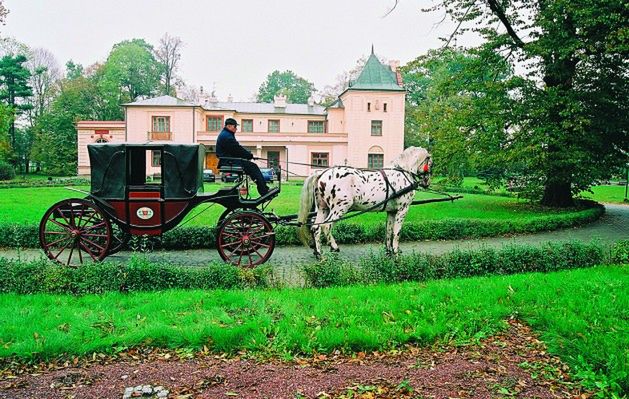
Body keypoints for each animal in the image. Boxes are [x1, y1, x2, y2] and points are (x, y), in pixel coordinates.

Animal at [296, 147, 430, 260]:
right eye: (430, 161)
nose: (427, 182)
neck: (402, 173)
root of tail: (321, 174)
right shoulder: (403, 210)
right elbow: (397, 233)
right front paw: (396, 253)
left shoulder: (391, 211)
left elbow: (388, 230)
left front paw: (389, 251)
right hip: (340, 208)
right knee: (326, 226)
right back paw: (334, 247)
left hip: (323, 209)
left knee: (316, 228)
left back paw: (320, 254)